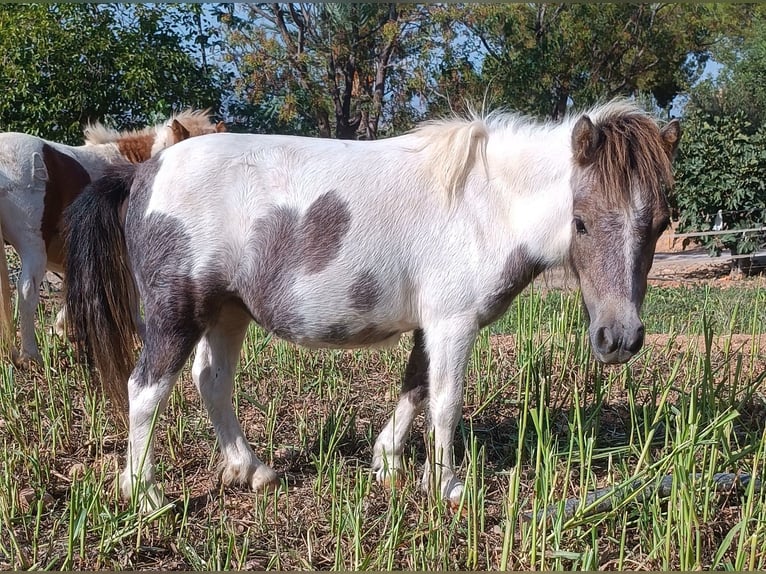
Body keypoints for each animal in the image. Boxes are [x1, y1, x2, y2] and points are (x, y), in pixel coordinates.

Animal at [63, 101, 680, 510]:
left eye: (659, 224)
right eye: (581, 221)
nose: (619, 338)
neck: (484, 203)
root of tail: (141, 174)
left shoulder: (431, 326)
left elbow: (414, 388)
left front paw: (387, 464)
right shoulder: (453, 324)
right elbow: (446, 401)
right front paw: (446, 486)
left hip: (227, 312)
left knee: (211, 381)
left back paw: (251, 470)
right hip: (176, 313)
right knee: (145, 392)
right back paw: (146, 495)